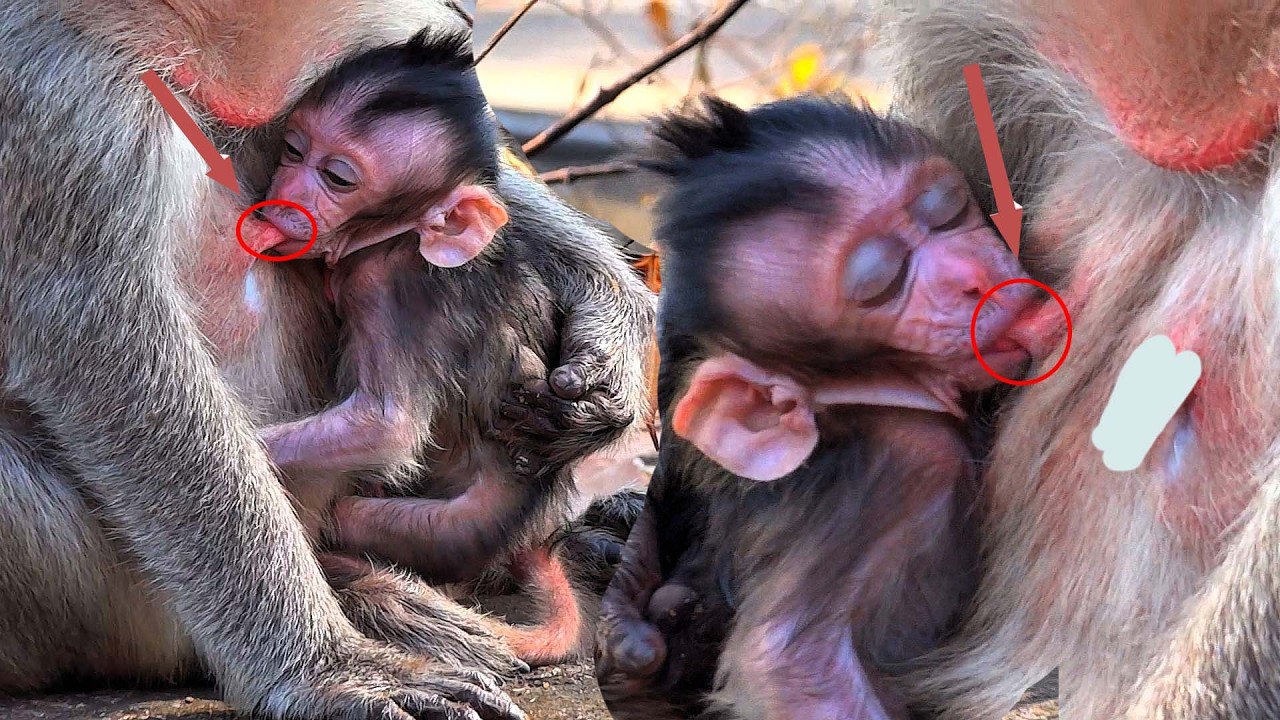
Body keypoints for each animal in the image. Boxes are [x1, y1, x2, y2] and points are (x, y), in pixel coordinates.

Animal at [0, 2, 653, 718]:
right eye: (295, 153)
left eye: (336, 175)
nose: (286, 197)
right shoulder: (49, 86)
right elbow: (103, 340)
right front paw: (329, 669)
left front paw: (609, 324)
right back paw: (367, 595)